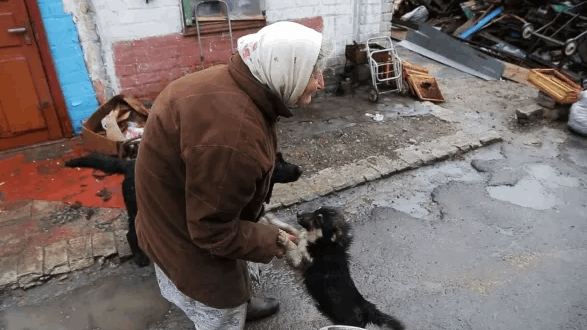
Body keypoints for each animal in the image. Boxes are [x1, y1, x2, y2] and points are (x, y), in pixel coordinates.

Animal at [64, 152, 304, 268]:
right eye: (279, 163)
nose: (300, 169)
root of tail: (127, 164)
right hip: (136, 209)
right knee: (130, 234)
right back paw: (139, 257)